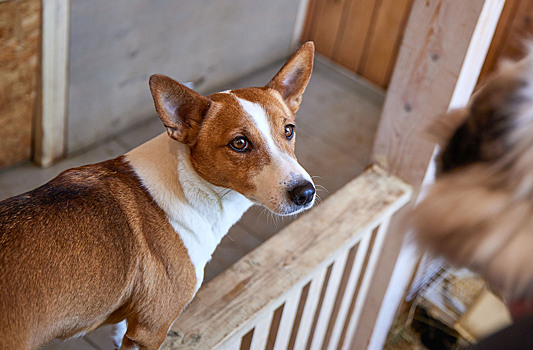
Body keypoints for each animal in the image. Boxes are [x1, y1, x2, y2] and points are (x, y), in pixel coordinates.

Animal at [0, 41, 316, 350]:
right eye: (239, 143)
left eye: (289, 130)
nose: (305, 193)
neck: (188, 185)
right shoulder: (151, 329)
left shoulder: (133, 323)